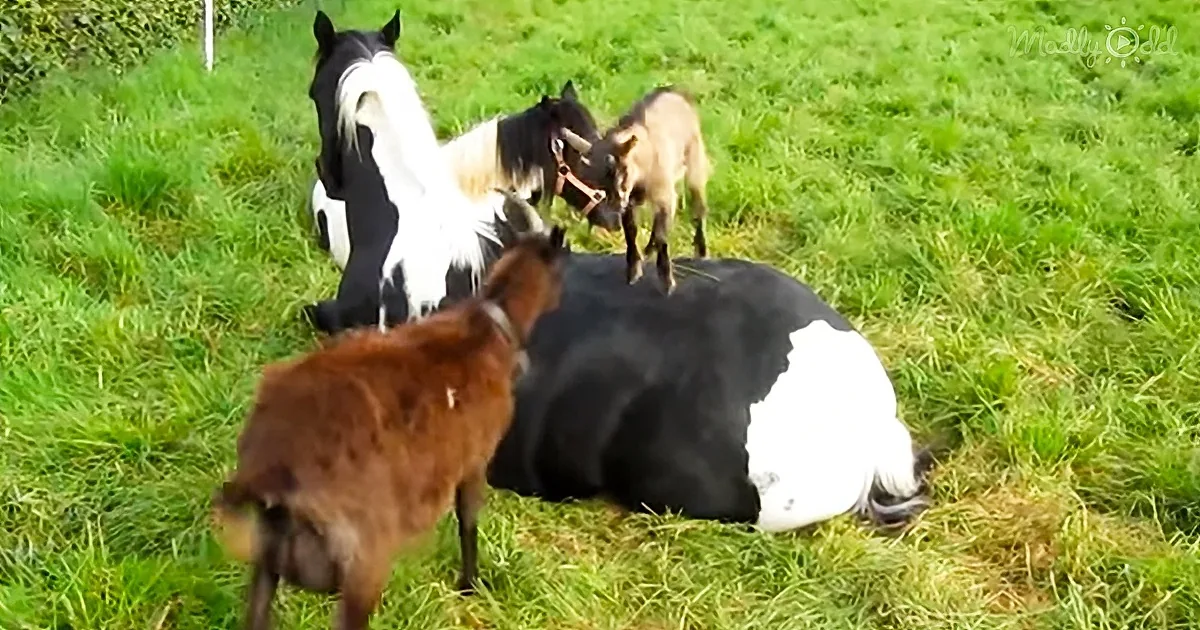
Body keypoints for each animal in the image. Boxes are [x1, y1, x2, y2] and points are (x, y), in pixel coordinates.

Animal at [210, 225, 571, 630]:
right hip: (362, 566)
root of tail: (271, 474)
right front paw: (469, 585)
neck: (488, 327)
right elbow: (468, 521)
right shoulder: (474, 460)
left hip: (269, 562)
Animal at [558, 86, 712, 294]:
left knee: (698, 206)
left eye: (620, 171)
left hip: (695, 160)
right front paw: (633, 271)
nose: (612, 210)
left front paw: (666, 281)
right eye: (593, 181)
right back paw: (649, 249)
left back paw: (701, 250)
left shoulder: (662, 193)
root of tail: (676, 91)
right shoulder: (630, 203)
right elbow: (631, 231)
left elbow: (663, 235)